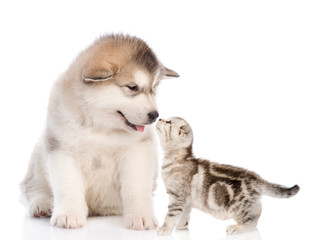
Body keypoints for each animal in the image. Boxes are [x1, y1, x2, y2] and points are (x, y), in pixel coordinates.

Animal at [157, 117, 302, 235]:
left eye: (168, 122)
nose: (159, 118)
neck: (177, 158)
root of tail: (256, 178)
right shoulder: (186, 200)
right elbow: (185, 215)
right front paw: (182, 227)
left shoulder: (177, 197)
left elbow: (170, 215)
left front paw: (164, 228)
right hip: (250, 205)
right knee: (257, 215)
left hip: (238, 207)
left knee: (251, 223)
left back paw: (237, 228)